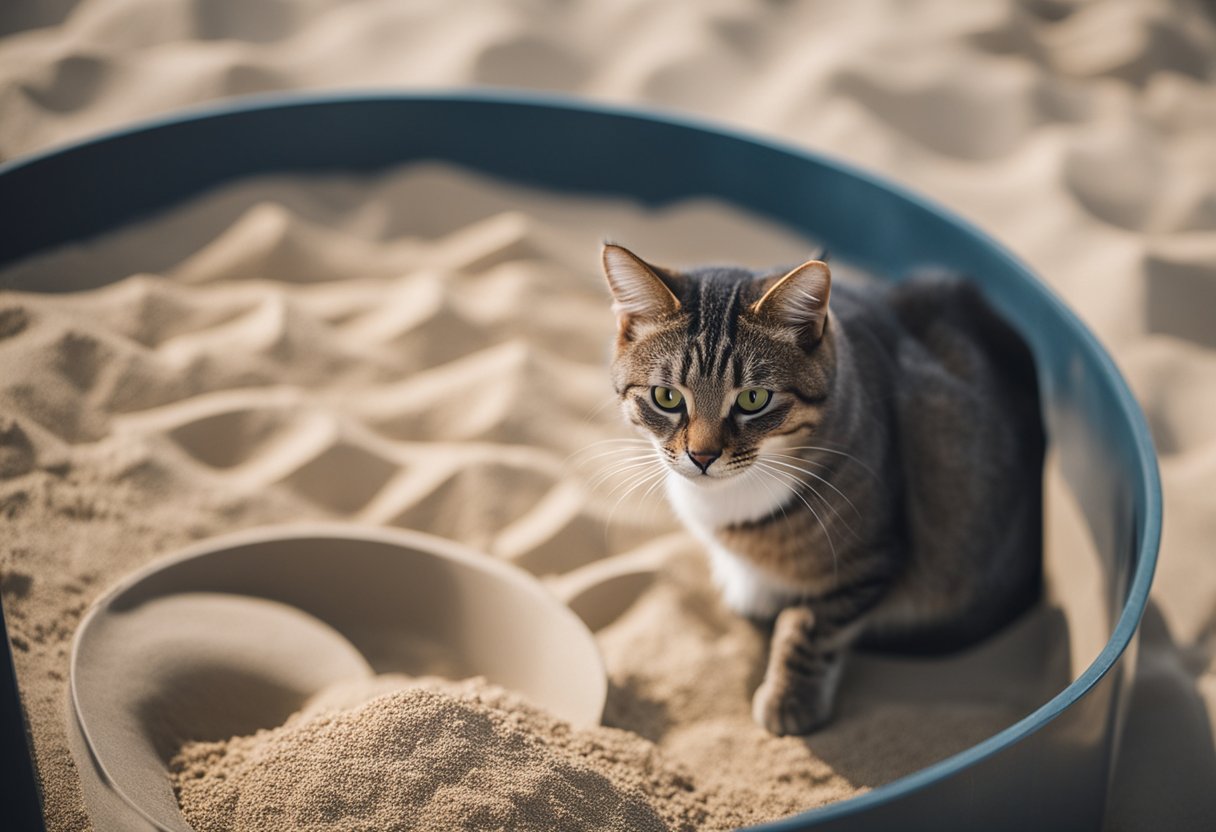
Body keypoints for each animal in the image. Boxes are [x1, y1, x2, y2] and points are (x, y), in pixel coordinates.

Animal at [598, 240, 1045, 734]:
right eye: (667, 397)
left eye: (754, 399)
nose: (702, 456)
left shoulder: (866, 560)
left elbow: (811, 626)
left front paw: (790, 703)